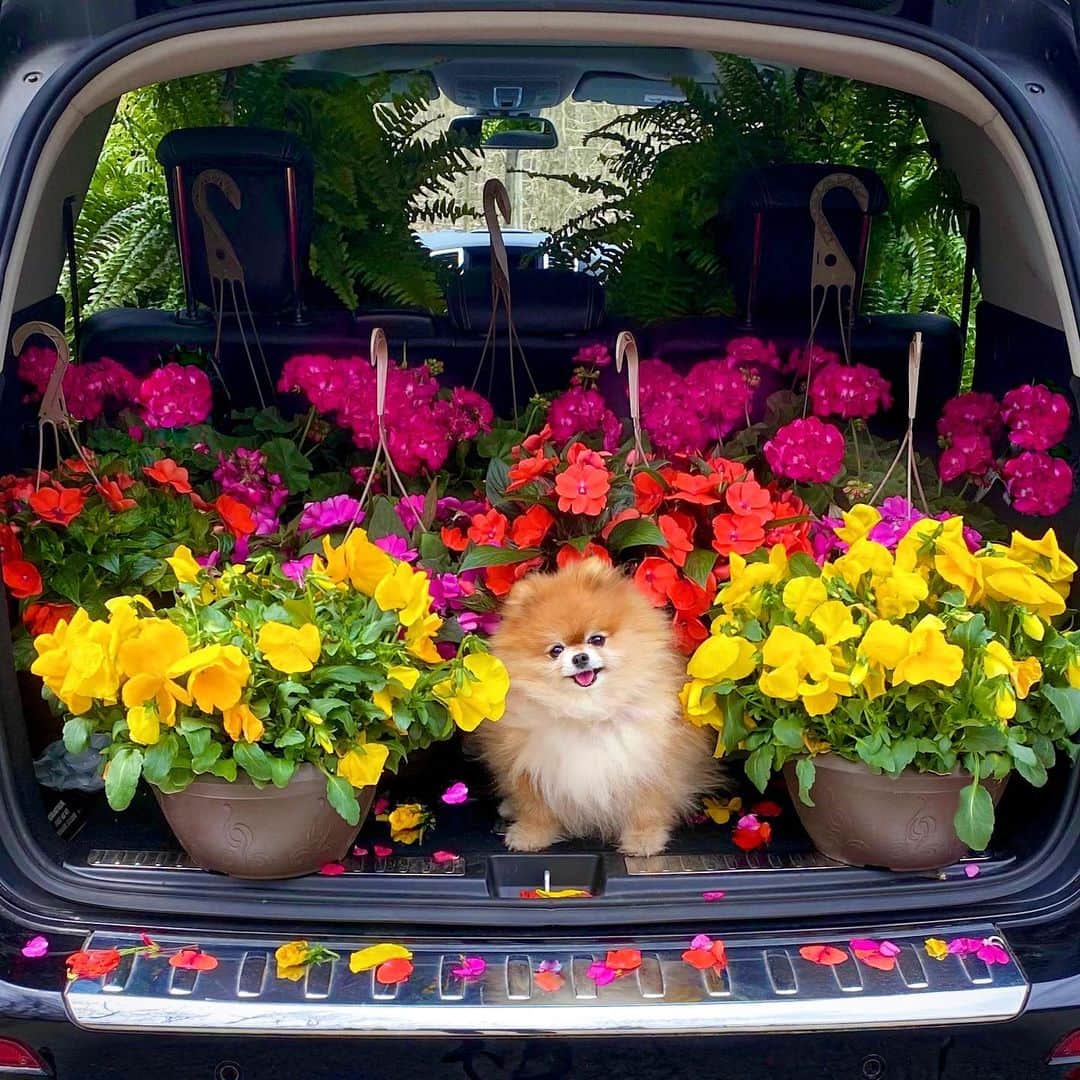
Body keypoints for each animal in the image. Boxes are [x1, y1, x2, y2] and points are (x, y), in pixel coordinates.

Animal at [475, 557, 717, 851]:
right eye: (556, 650)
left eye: (597, 639)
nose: (580, 657)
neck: (588, 712)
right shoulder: (533, 764)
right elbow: (536, 807)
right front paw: (530, 836)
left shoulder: (649, 764)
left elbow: (646, 807)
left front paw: (643, 840)